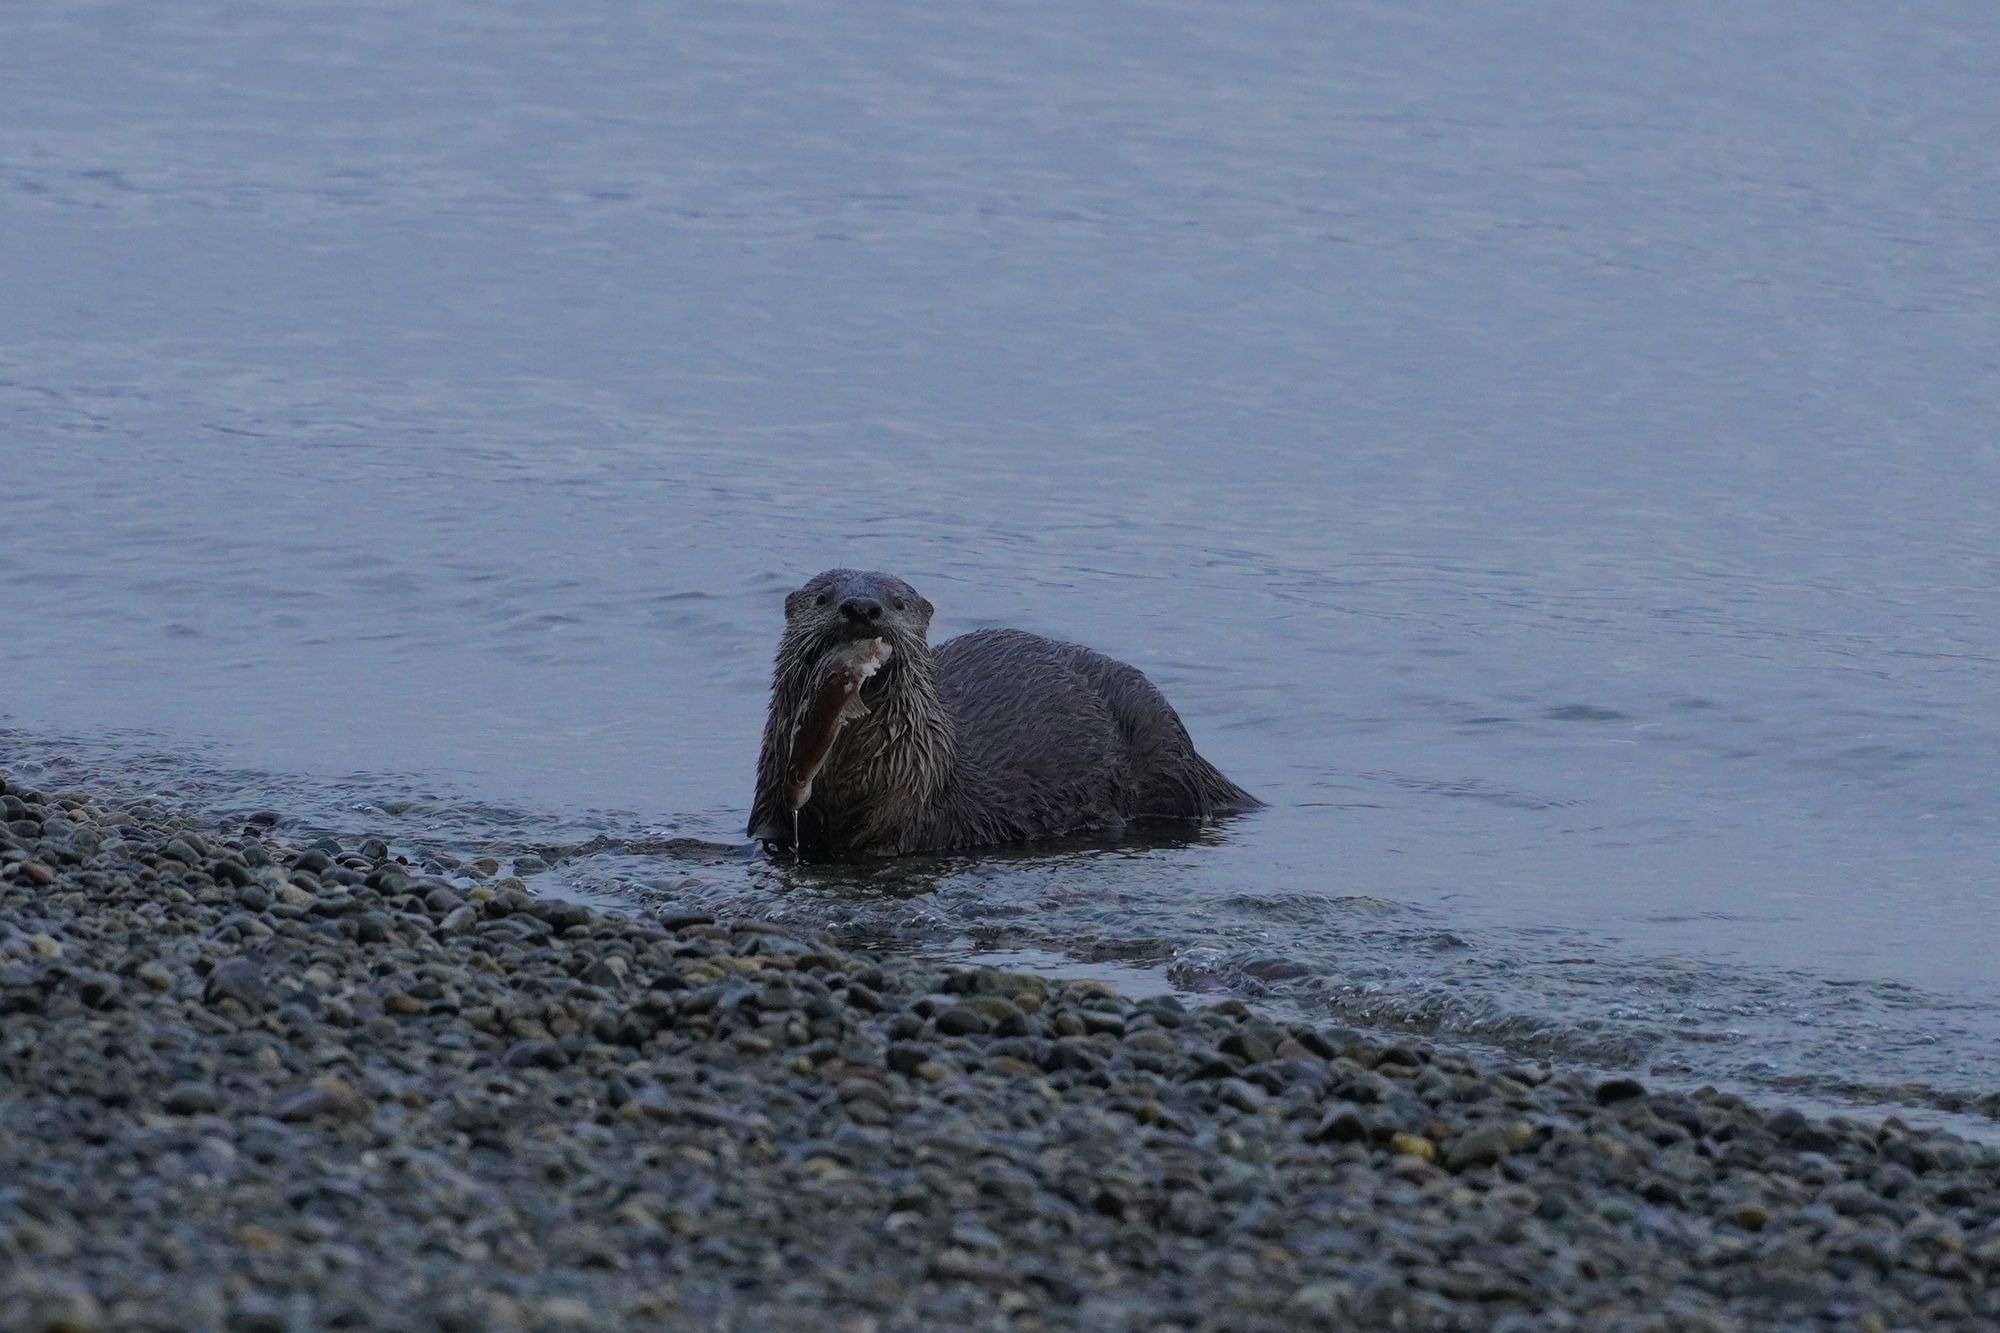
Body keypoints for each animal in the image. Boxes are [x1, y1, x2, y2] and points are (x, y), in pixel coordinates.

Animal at [748, 569, 1259, 857]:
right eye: (824, 597)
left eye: (897, 601)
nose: (862, 607)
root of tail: (1192, 750)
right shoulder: (771, 798)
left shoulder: (904, 815)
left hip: (1160, 748)